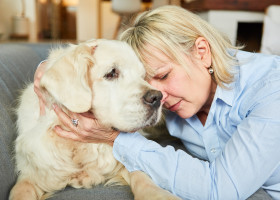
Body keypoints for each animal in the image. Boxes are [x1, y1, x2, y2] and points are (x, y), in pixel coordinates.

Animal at [9, 39, 180, 200]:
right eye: (111, 73)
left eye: (142, 77)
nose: (157, 98)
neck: (79, 146)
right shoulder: (31, 173)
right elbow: (20, 190)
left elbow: (141, 175)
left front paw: (158, 194)